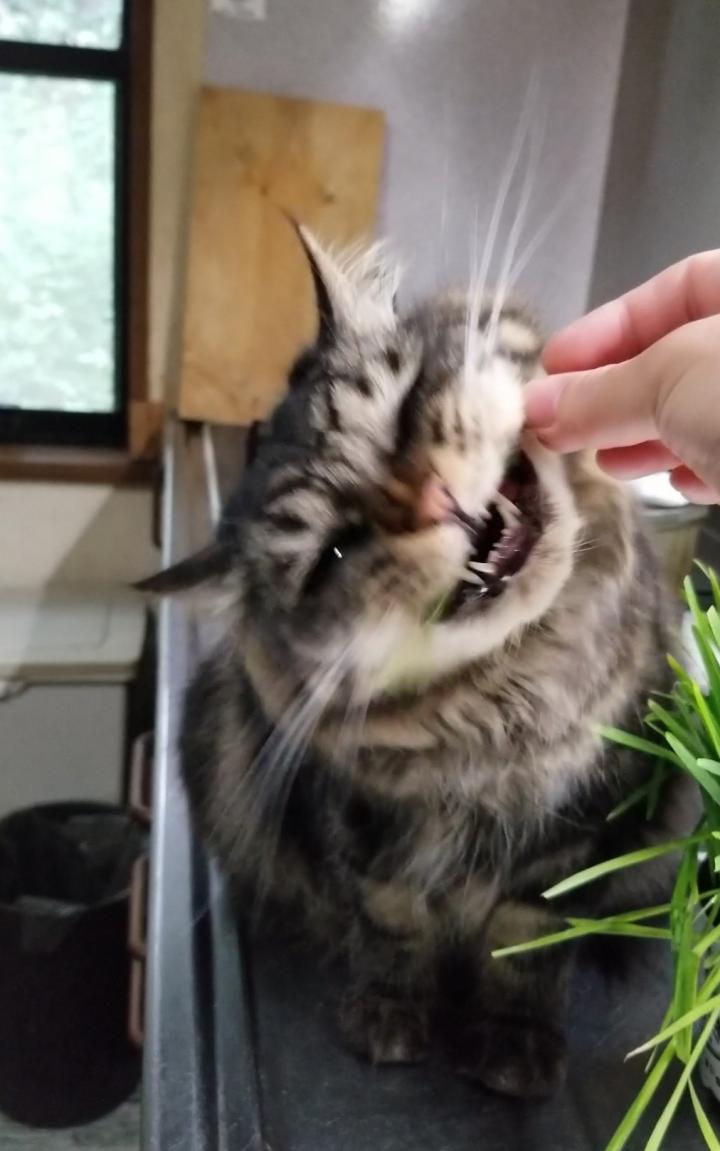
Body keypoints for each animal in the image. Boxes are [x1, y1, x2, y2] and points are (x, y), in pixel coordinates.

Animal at [144, 224, 695, 1100]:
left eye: (404, 411)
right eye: (335, 552)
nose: (435, 497)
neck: (511, 710)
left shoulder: (574, 830)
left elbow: (525, 944)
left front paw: (512, 1040)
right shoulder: (363, 824)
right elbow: (391, 920)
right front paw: (391, 1014)